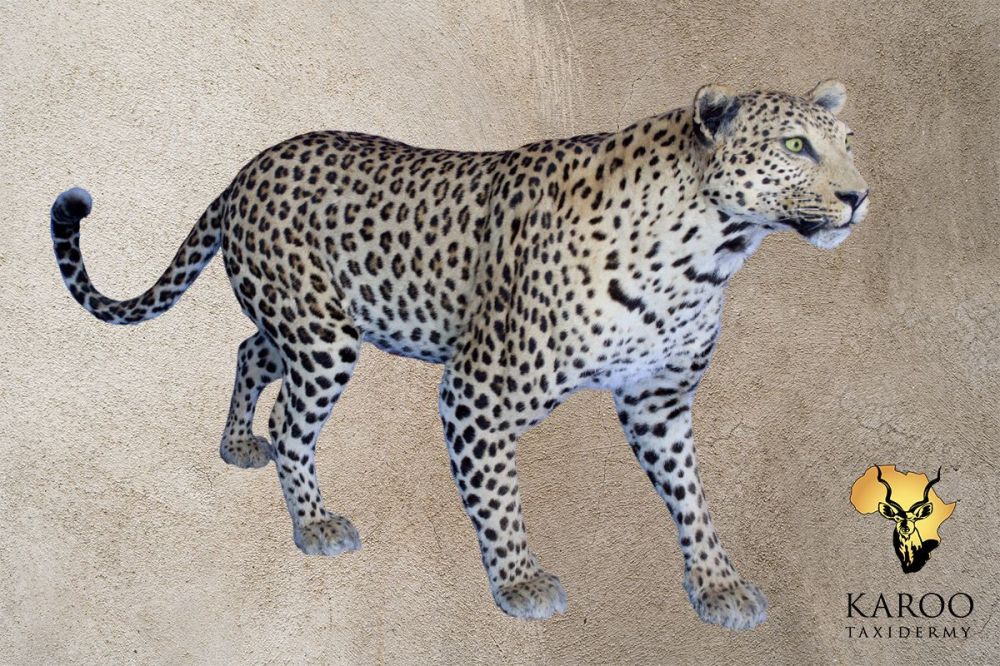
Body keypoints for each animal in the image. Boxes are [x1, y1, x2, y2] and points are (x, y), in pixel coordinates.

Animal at [50, 80, 869, 629]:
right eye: (795, 146)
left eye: (848, 143)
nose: (860, 196)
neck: (710, 252)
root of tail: (245, 169)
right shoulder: (478, 391)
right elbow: (498, 495)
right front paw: (519, 583)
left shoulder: (659, 401)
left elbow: (691, 496)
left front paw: (719, 586)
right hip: (322, 337)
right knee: (292, 423)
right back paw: (312, 521)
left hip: (306, 325)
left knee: (251, 350)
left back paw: (236, 444)